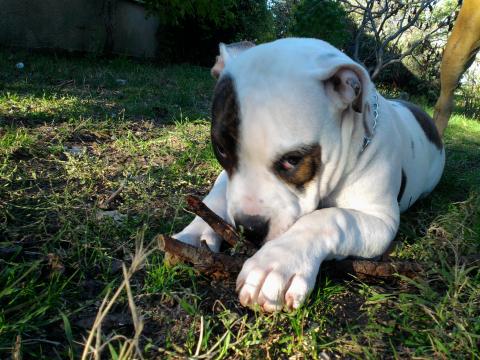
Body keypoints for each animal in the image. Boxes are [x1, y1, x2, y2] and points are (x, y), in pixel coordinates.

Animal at [174, 38, 444, 310]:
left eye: (293, 160)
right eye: (221, 149)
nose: (249, 228)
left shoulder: (381, 220)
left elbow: (330, 218)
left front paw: (276, 264)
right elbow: (217, 195)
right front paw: (195, 232)